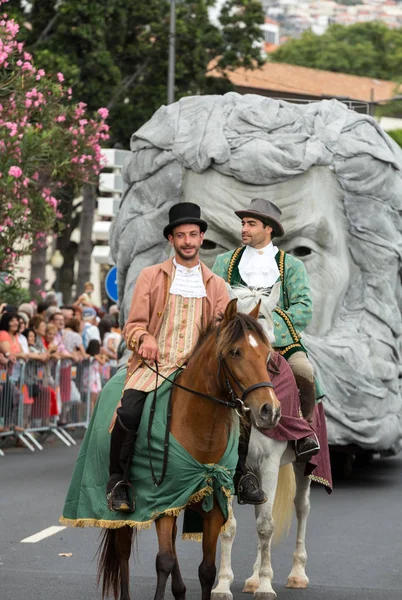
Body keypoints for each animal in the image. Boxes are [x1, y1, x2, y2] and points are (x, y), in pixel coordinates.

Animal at [98, 300, 280, 600]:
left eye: (267, 355)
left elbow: (206, 569)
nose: (270, 410)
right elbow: (164, 560)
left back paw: (180, 590)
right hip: (127, 510)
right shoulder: (162, 502)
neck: (198, 424)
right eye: (235, 352)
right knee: (124, 552)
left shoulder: (212, 503)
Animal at [212, 284, 312, 600]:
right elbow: (229, 526)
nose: (269, 411)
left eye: (265, 351)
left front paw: (267, 586)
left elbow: (266, 527)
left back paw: (296, 574)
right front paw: (222, 584)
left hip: (303, 466)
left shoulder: (269, 465)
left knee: (301, 507)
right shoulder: (227, 469)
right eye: (232, 351)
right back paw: (254, 578)